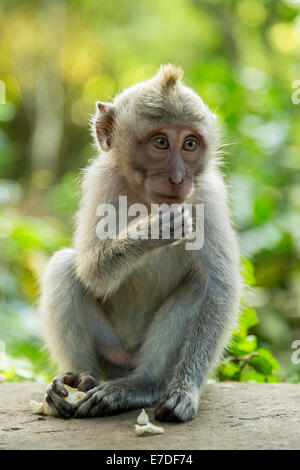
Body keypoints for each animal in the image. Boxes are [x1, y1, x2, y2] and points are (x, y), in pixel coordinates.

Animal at [39, 64, 241, 420]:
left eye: (190, 144)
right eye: (160, 142)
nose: (178, 178)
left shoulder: (207, 195)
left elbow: (219, 286)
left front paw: (185, 391)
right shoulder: (102, 181)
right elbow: (90, 269)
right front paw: (154, 230)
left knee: (198, 284)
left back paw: (143, 386)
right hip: (110, 350)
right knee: (64, 267)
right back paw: (78, 380)